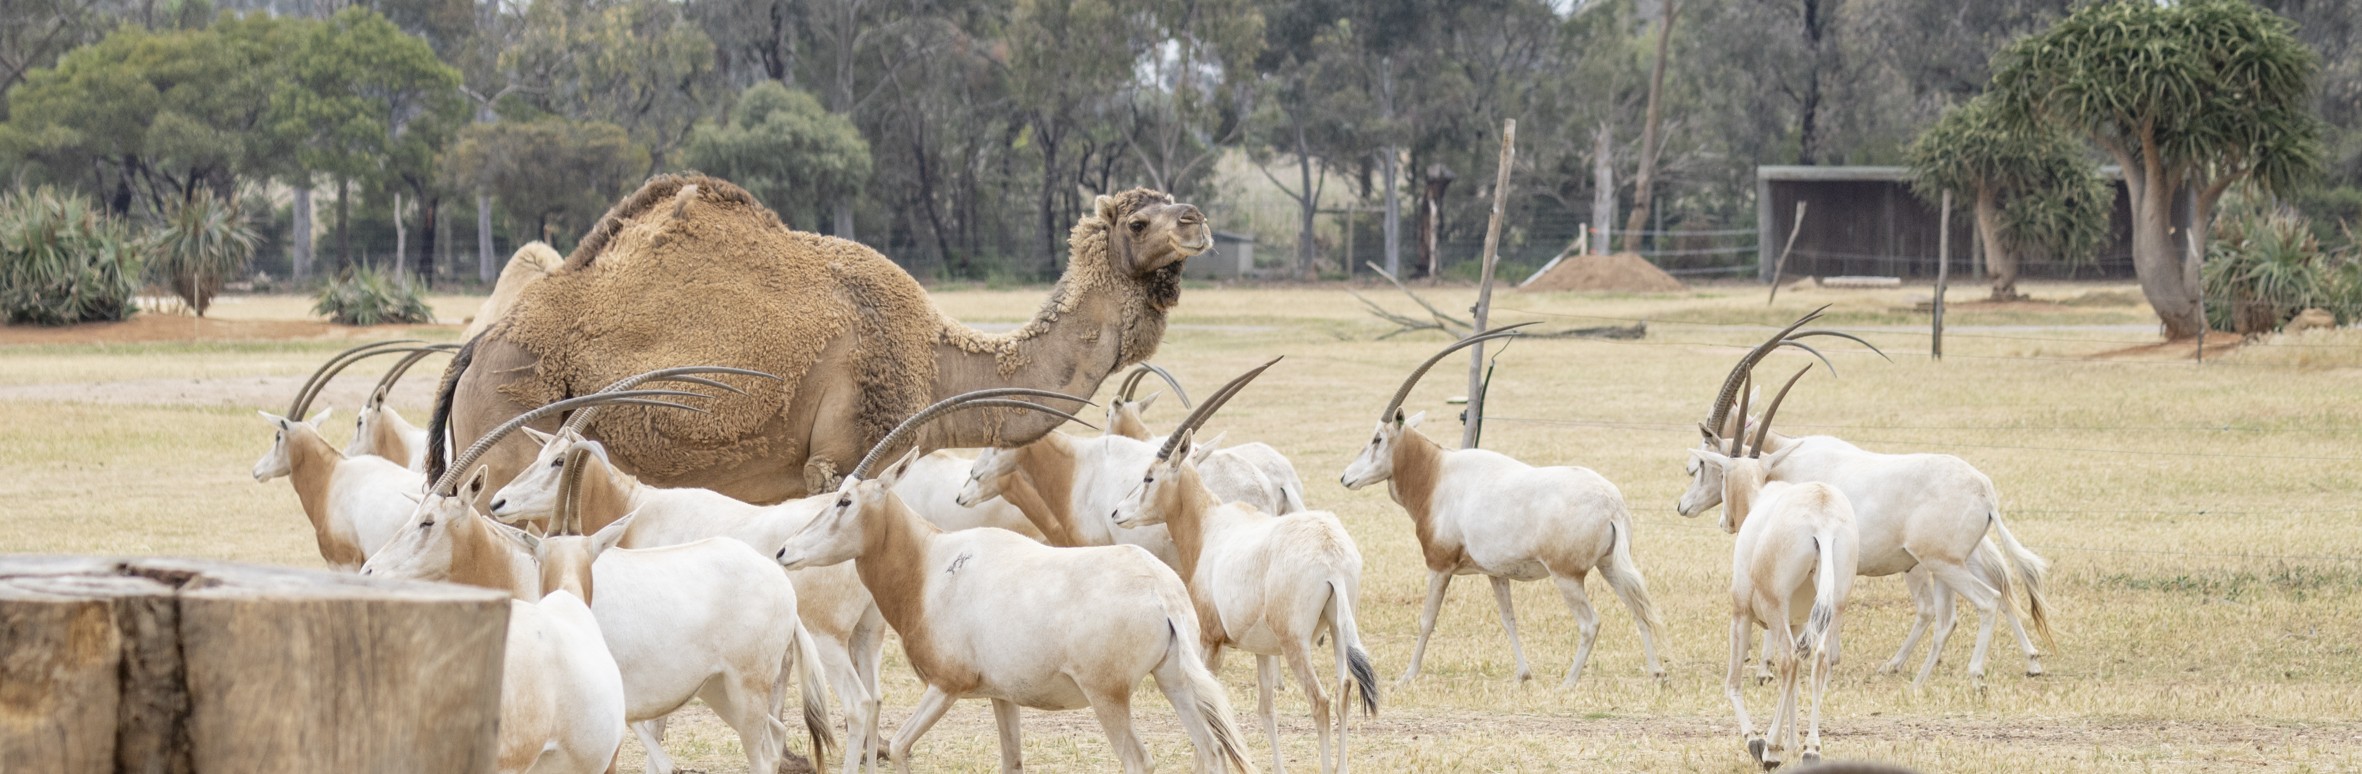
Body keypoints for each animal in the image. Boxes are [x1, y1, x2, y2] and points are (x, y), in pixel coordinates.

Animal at [428, 174, 1208, 504]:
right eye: (1140, 221)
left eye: (1172, 200)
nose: (1197, 220)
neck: (934, 360)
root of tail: (474, 351)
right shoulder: (845, 454)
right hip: (506, 440)